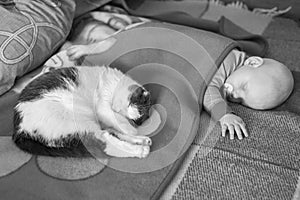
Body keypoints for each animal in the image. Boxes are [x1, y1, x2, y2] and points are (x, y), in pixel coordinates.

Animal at [12, 65, 152, 158]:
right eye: (130, 104)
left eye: (133, 119)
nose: (118, 109)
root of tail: (18, 131)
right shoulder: (103, 105)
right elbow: (115, 120)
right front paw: (131, 130)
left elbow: (118, 127)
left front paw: (133, 132)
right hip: (78, 123)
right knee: (105, 143)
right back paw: (141, 150)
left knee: (110, 134)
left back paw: (142, 140)